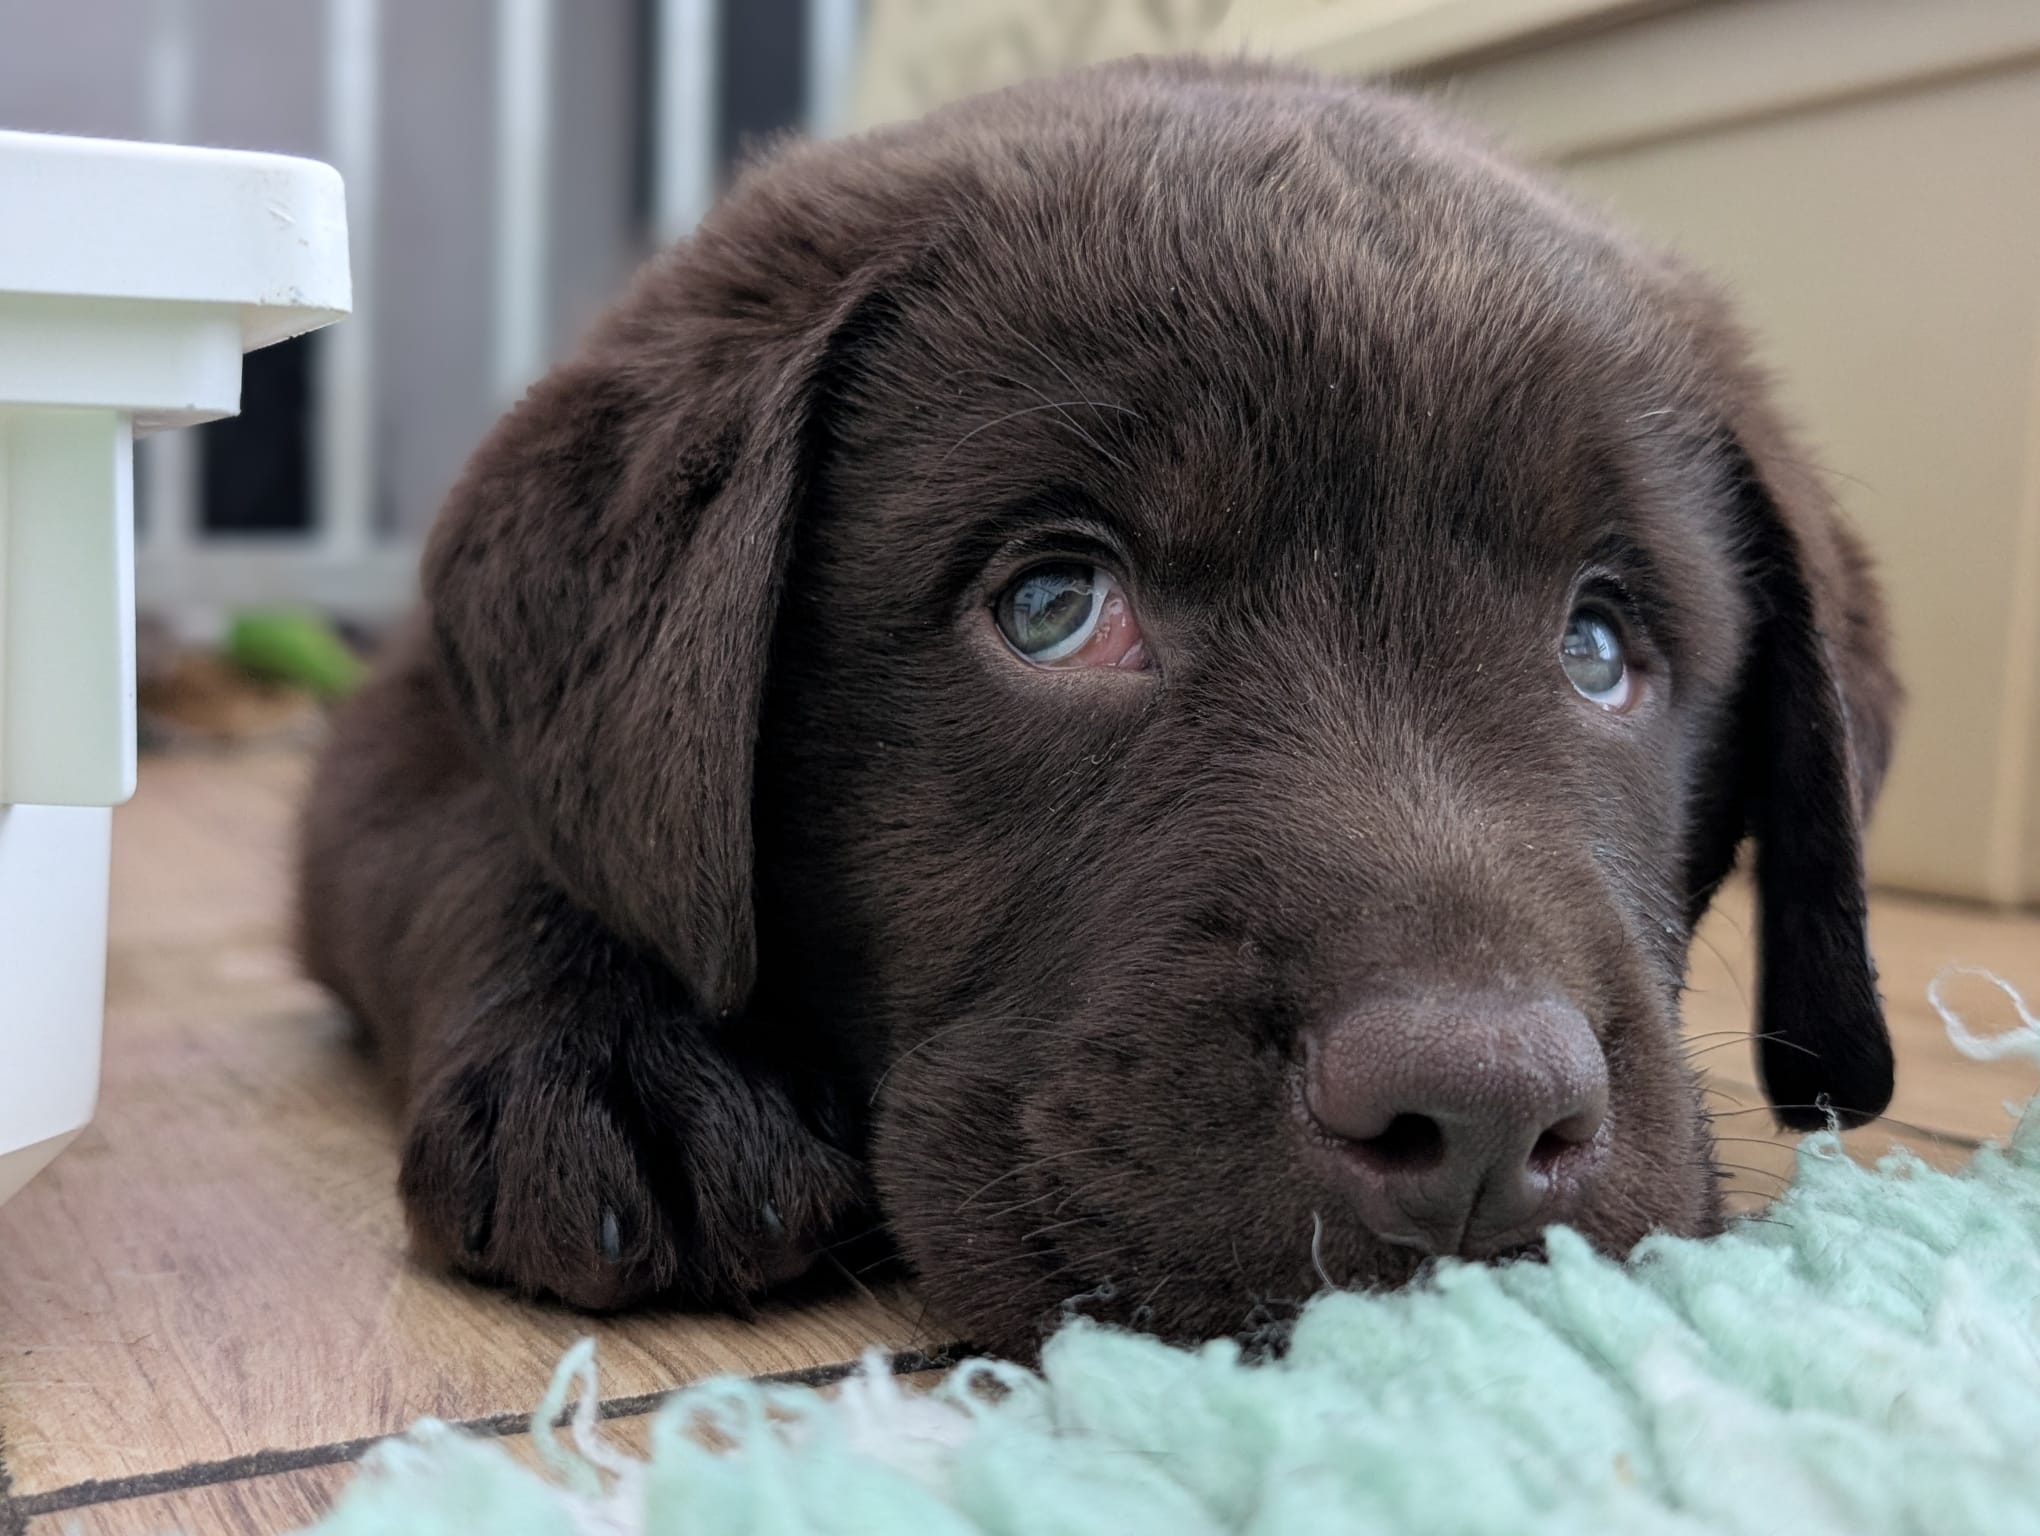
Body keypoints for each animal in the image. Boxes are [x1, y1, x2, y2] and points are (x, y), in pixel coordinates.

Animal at [298, 55, 1900, 1358]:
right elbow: (474, 839)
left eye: (1600, 648)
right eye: (1054, 609)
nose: (1483, 1119)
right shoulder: (402, 714)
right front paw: (620, 1059)